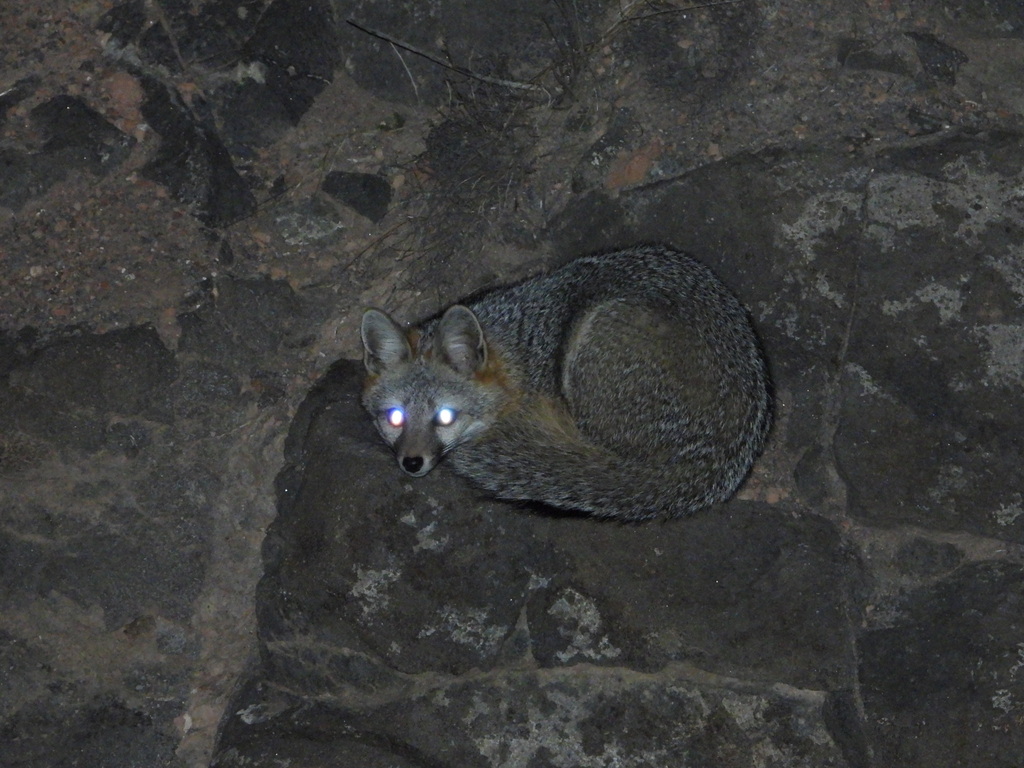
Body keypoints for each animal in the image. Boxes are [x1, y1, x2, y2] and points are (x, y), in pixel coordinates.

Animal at [359, 245, 772, 521]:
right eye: (395, 417)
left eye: (445, 417)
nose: (412, 463)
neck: (522, 354)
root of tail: (710, 458)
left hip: (594, 336)